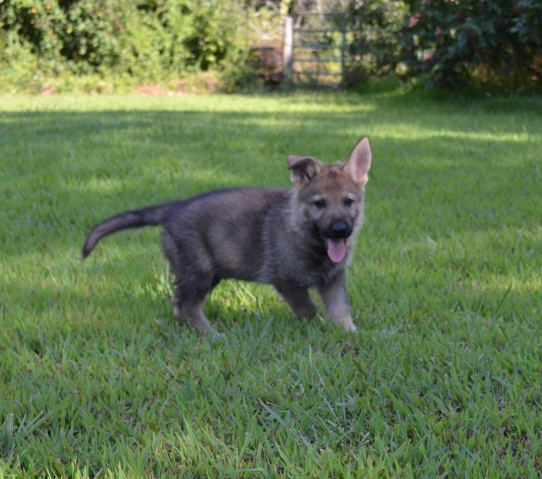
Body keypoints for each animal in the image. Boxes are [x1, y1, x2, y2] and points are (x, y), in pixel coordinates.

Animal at [83, 137, 374, 336]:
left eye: (348, 202)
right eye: (319, 204)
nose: (340, 230)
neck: (303, 232)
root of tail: (174, 208)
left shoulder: (334, 279)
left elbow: (341, 310)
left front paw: (352, 334)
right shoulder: (286, 280)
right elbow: (309, 308)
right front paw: (315, 325)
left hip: (206, 272)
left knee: (178, 303)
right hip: (199, 270)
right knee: (187, 305)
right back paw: (212, 335)